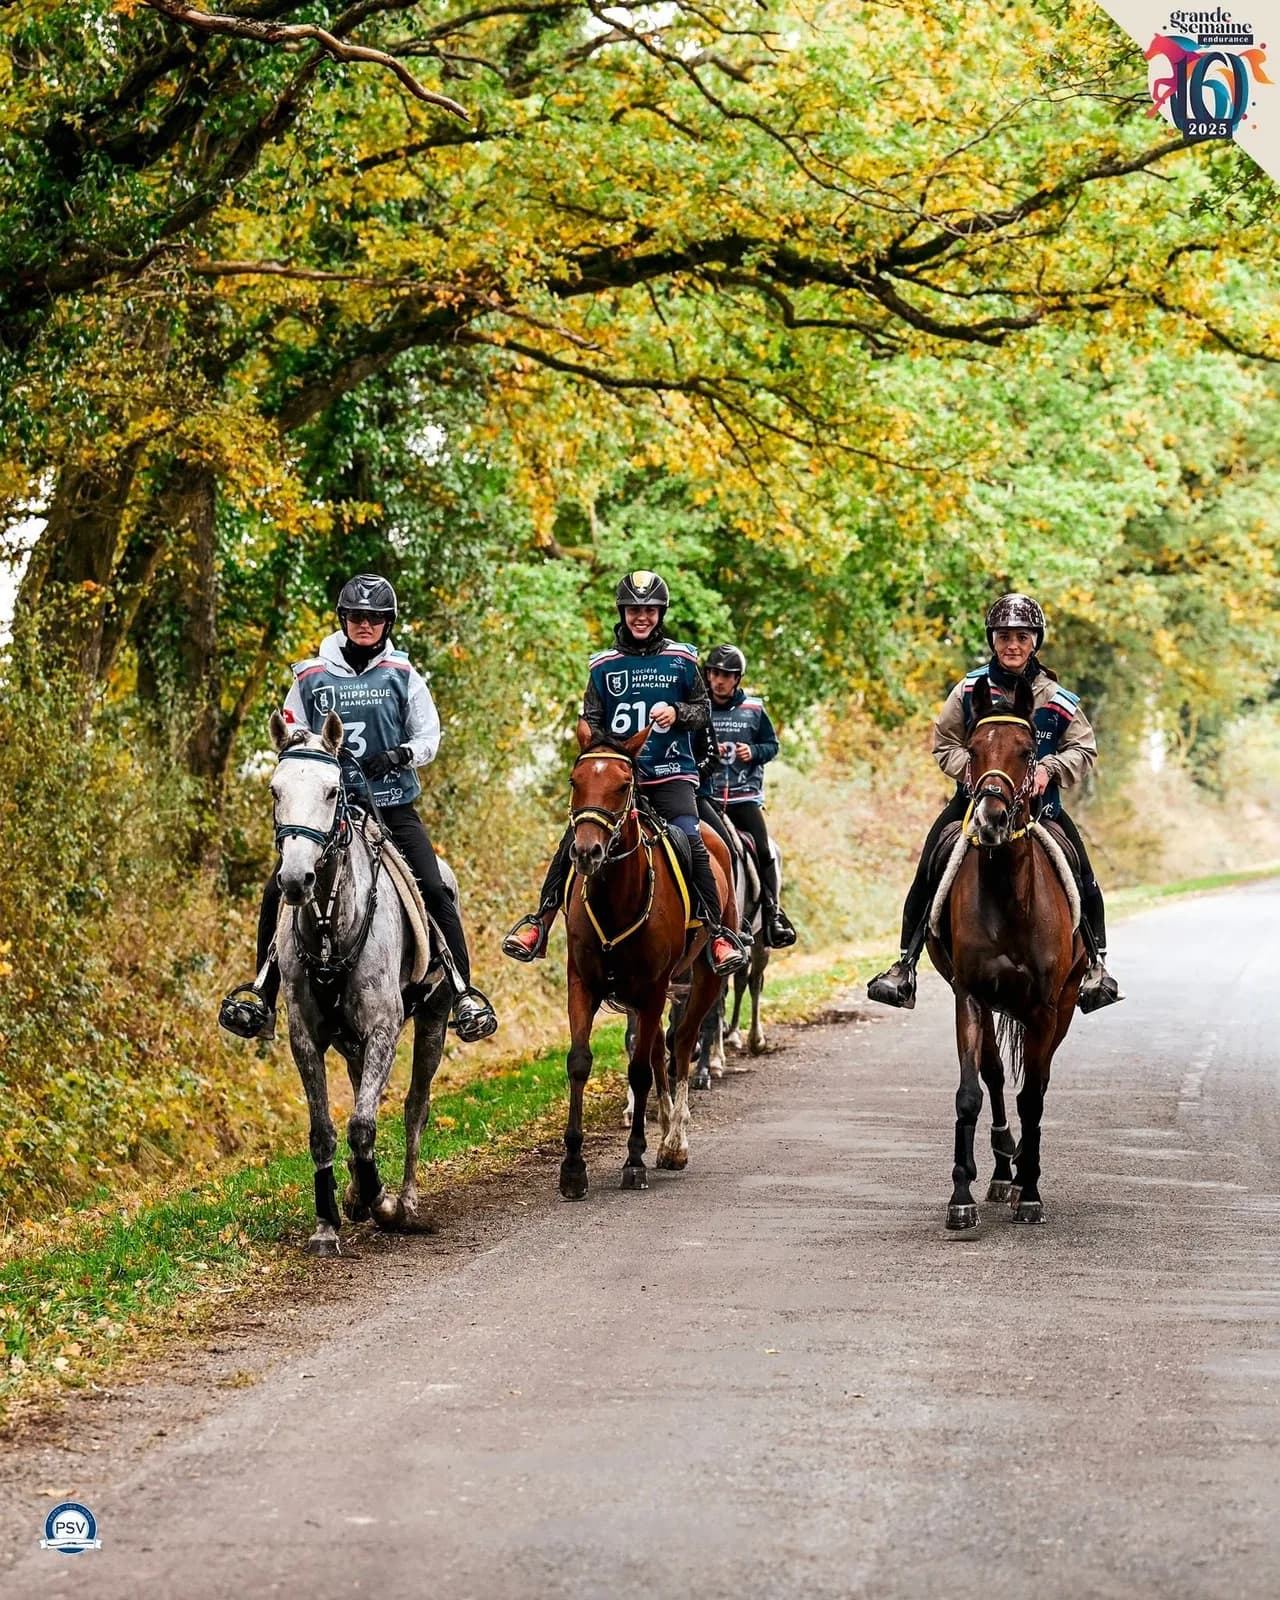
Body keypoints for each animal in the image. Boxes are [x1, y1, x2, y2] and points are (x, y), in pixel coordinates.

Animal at [267, 710, 455, 1255]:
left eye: (333, 791)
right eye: (275, 790)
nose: (295, 880)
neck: (332, 926)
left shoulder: (383, 1030)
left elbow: (364, 1125)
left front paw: (384, 1203)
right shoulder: (305, 1038)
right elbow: (325, 1130)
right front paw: (327, 1222)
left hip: (432, 1021)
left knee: (415, 1107)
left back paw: (406, 1201)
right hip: (350, 1042)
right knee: (359, 1093)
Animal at [559, 724, 738, 1198]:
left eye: (624, 786)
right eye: (575, 782)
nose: (587, 852)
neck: (617, 899)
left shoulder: (654, 987)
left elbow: (641, 1069)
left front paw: (635, 1161)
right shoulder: (582, 983)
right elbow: (580, 1062)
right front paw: (573, 1168)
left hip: (702, 978)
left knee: (681, 1042)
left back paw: (674, 1141)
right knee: (660, 1048)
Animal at [924, 674, 1086, 1230]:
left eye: (1026, 751)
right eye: (974, 750)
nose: (991, 819)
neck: (1009, 899)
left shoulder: (1044, 1007)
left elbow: (1033, 1096)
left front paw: (1030, 1191)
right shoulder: (970, 995)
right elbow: (971, 1092)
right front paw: (961, 1196)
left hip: (1063, 1006)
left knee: (1037, 1082)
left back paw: (1019, 1177)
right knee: (994, 1077)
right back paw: (1000, 1170)